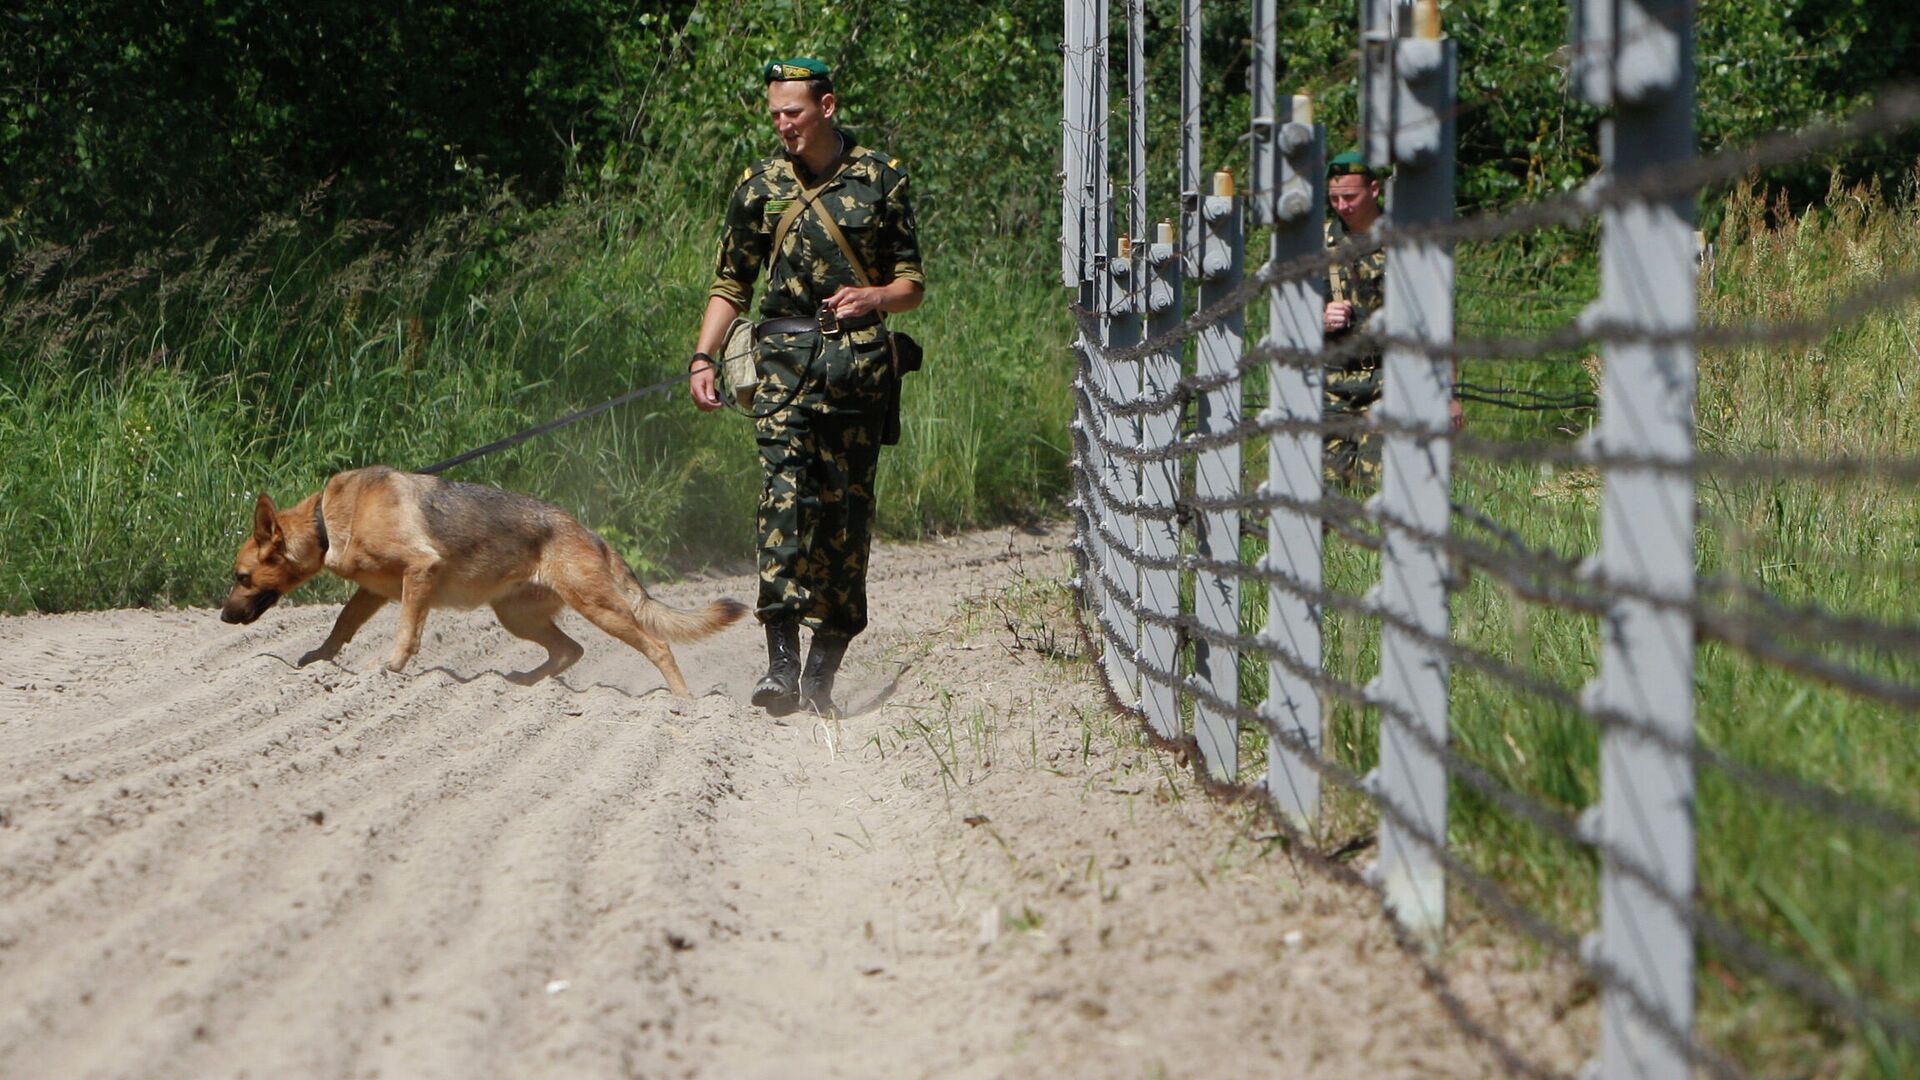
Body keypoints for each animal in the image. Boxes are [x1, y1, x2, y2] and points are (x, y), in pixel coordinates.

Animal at [217, 466, 741, 691]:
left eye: (241, 576)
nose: (222, 617)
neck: (328, 520)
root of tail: (589, 533)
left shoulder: (419, 573)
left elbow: (407, 633)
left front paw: (390, 668)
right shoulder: (372, 593)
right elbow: (341, 625)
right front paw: (318, 662)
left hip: (599, 608)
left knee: (658, 646)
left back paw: (683, 704)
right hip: (516, 617)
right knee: (569, 650)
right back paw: (524, 684)